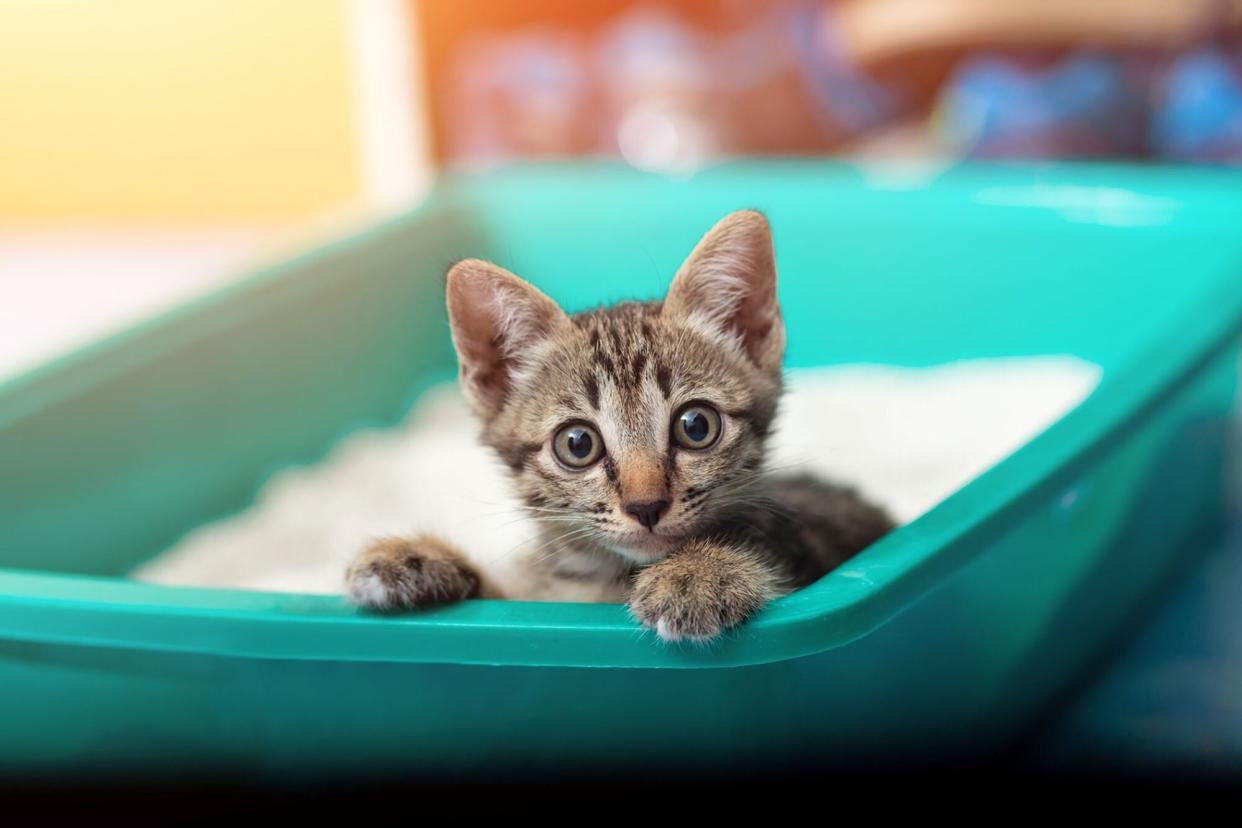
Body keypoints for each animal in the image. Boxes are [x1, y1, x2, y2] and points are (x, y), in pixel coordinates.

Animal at [350, 211, 894, 645]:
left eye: (697, 425)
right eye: (577, 444)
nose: (646, 506)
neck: (611, 579)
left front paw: (700, 572)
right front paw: (417, 559)